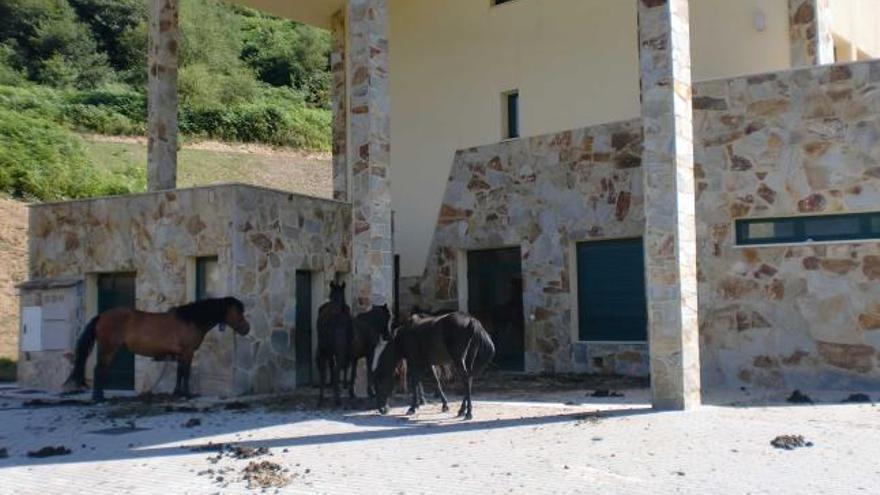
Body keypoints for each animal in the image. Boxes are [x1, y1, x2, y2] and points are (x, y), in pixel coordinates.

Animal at [64, 296, 251, 402]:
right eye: (237, 312)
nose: (247, 329)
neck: (191, 320)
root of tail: (102, 316)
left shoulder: (180, 353)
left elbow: (180, 373)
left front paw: (177, 393)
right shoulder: (188, 352)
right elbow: (186, 372)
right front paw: (187, 394)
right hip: (109, 349)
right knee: (99, 370)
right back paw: (98, 398)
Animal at [316, 280, 350, 408]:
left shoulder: (330, 351)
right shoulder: (342, 350)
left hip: (322, 349)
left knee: (323, 371)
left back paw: (321, 399)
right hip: (338, 351)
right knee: (336, 369)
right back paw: (337, 399)